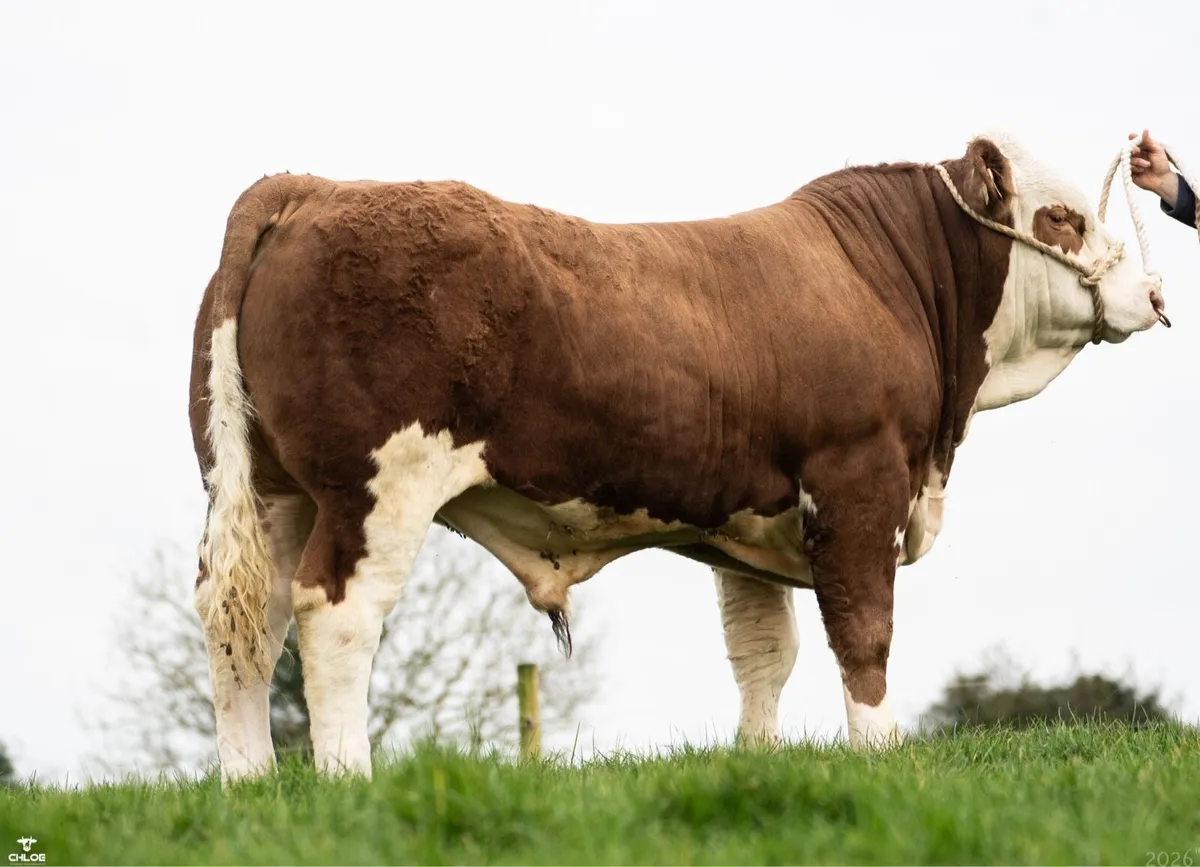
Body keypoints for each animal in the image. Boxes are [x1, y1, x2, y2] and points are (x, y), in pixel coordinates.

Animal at [189, 130, 1169, 782]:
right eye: (1061, 216)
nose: (1155, 292)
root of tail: (309, 186)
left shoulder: (753, 519)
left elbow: (764, 650)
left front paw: (759, 759)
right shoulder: (858, 483)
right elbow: (864, 630)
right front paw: (882, 752)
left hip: (272, 490)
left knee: (248, 619)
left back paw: (252, 782)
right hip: (373, 489)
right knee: (334, 615)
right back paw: (347, 779)